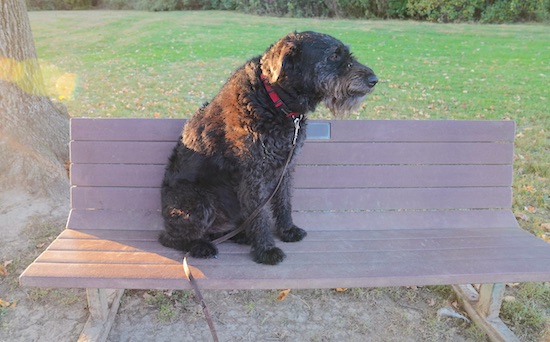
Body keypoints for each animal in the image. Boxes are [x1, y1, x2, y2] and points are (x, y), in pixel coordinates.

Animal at [157, 31, 378, 264]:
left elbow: (284, 202)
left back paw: (241, 236)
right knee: (169, 238)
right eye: (334, 56)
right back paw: (201, 246)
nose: (374, 80)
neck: (274, 100)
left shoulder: (286, 168)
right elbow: (261, 215)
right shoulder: (254, 175)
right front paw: (266, 249)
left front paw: (287, 230)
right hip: (198, 202)